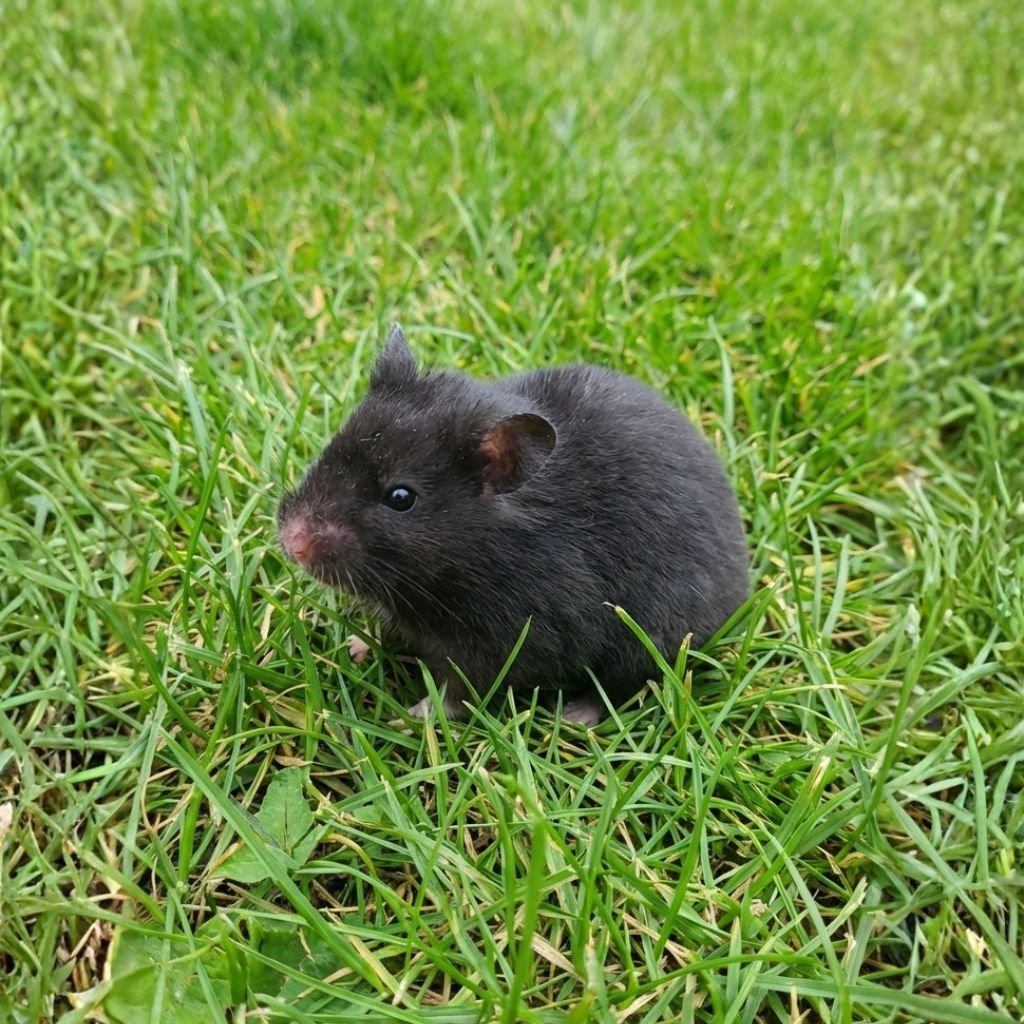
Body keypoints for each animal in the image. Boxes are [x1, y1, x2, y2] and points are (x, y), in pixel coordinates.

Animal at [277, 324, 748, 725]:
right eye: (330, 451)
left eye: (401, 498)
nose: (293, 544)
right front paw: (356, 646)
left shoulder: (511, 640)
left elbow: (460, 690)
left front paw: (411, 717)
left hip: (651, 640)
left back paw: (574, 716)